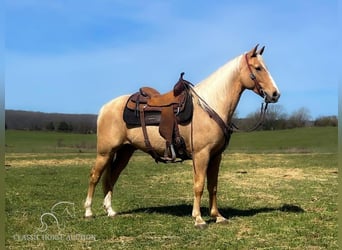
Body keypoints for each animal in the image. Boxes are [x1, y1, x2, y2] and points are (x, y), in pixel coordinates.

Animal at [84, 45, 280, 229]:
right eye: (258, 68)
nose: (275, 94)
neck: (209, 106)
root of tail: (105, 107)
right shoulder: (201, 155)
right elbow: (199, 185)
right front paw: (198, 219)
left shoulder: (216, 156)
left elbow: (213, 186)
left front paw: (217, 216)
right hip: (105, 152)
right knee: (95, 176)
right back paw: (88, 211)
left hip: (125, 151)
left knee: (112, 177)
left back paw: (110, 211)